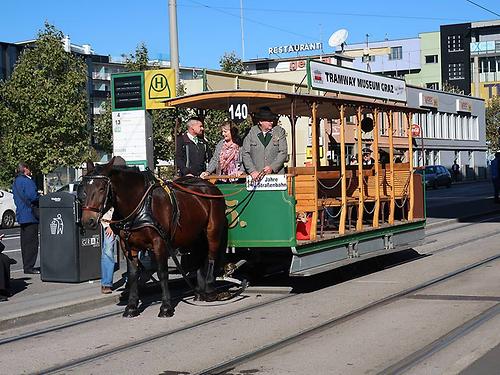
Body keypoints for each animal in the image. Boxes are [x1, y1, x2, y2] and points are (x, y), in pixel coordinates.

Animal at [79, 157, 228, 318]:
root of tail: (210, 187)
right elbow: (133, 275)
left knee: (211, 256)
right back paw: (200, 291)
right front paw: (131, 306)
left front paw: (166, 307)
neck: (140, 205)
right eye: (84, 189)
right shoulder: (128, 246)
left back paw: (210, 288)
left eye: (101, 188)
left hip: (212, 230)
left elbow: (162, 273)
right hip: (195, 234)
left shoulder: (159, 243)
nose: (88, 221)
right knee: (199, 256)